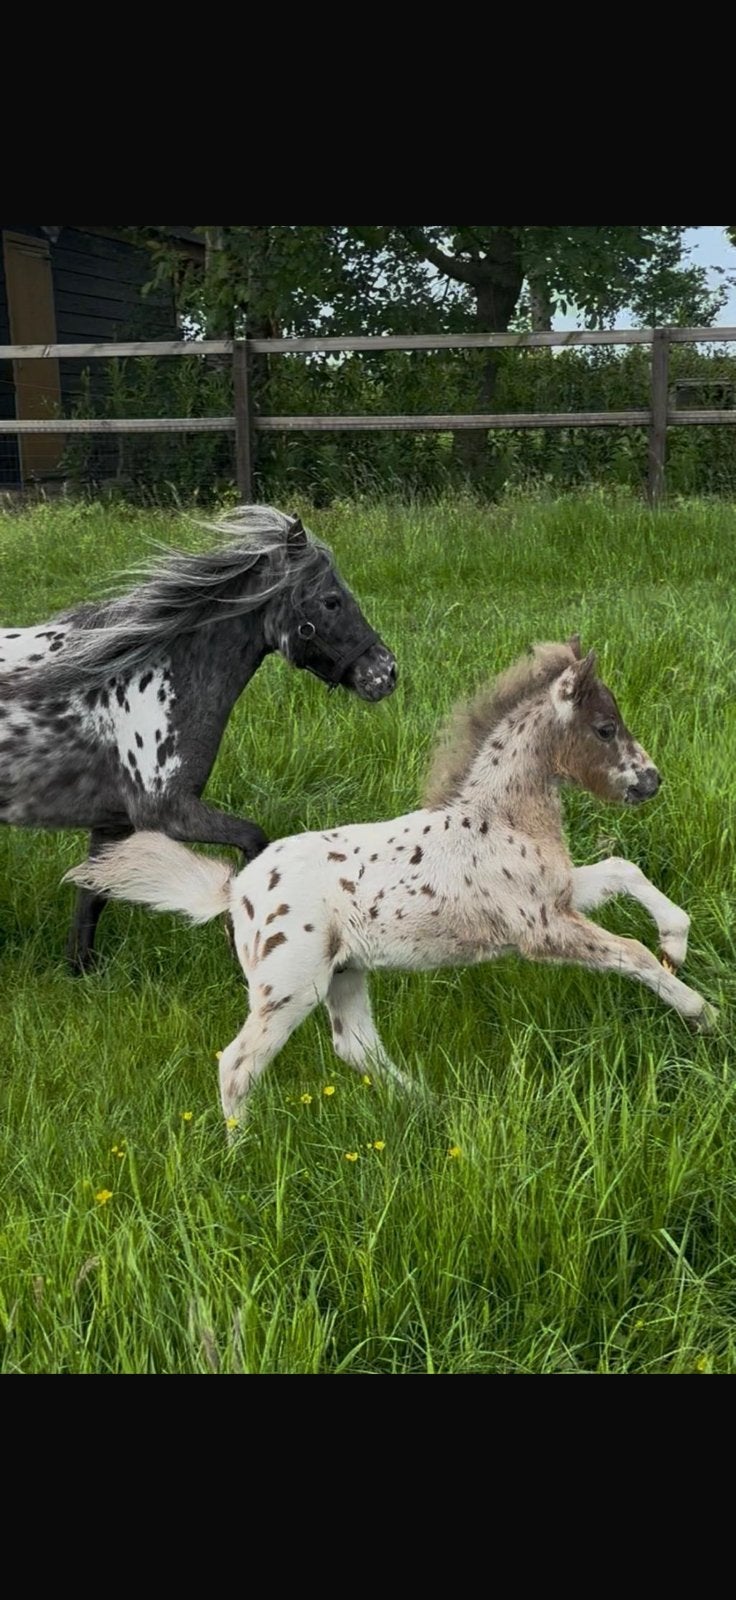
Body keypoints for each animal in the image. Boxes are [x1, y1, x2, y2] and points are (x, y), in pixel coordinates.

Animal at [0, 505, 397, 971]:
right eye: (331, 600)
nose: (385, 673)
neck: (142, 674)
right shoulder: (168, 812)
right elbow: (253, 840)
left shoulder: (112, 823)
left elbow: (92, 893)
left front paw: (81, 969)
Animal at [66, 636, 717, 1129]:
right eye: (605, 728)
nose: (651, 781)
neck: (501, 818)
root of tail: (236, 893)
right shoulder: (541, 928)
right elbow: (629, 953)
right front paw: (701, 1011)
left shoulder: (557, 897)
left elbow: (622, 871)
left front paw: (678, 941)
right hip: (288, 987)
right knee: (238, 1063)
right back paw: (241, 1155)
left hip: (344, 974)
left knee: (356, 1047)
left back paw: (432, 1107)